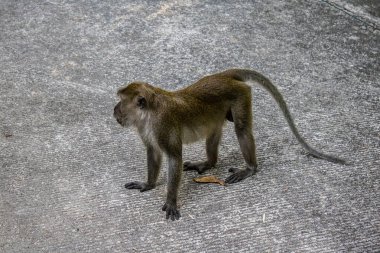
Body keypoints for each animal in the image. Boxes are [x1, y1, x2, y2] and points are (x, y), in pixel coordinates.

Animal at [112, 68, 344, 220]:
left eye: (121, 101)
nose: (115, 109)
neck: (149, 113)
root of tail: (224, 76)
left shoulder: (163, 124)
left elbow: (174, 158)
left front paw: (171, 201)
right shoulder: (146, 129)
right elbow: (153, 152)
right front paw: (148, 184)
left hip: (241, 94)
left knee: (241, 129)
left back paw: (250, 168)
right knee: (214, 129)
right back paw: (208, 163)